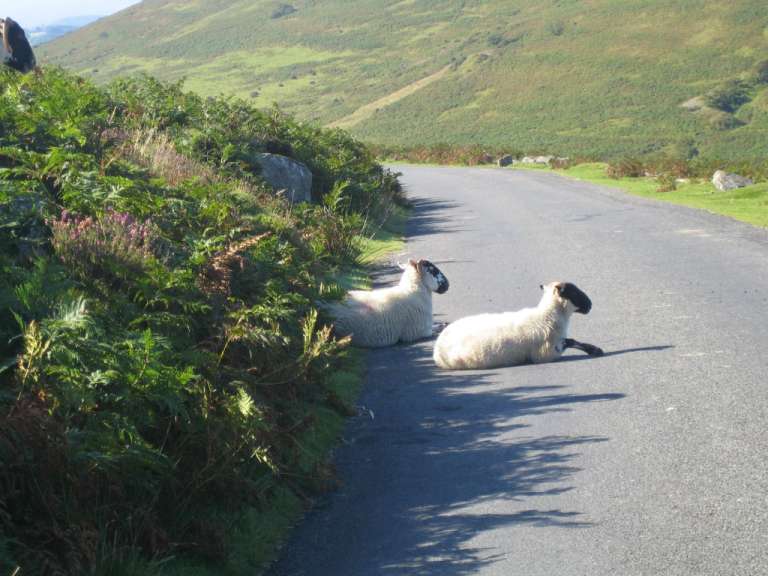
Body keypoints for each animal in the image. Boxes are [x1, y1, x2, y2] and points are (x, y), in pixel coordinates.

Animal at [433, 281, 603, 370]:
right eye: (573, 292)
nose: (590, 304)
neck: (547, 315)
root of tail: (436, 347)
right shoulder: (546, 353)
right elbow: (571, 341)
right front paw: (595, 350)